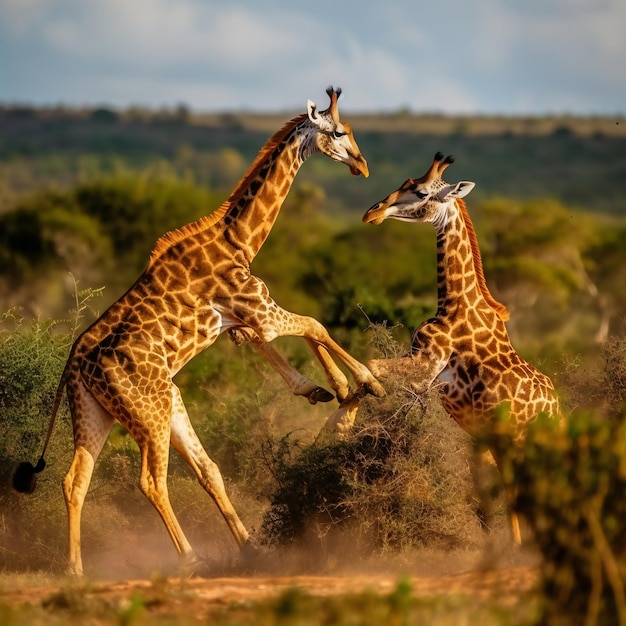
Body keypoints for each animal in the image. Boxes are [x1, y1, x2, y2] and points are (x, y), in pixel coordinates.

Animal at [14, 88, 382, 576]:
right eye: (339, 132)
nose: (362, 165)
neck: (237, 240)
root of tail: (73, 366)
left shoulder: (240, 319)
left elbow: (281, 341)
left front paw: (326, 390)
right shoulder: (258, 309)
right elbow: (315, 324)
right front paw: (362, 382)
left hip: (106, 410)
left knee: (81, 479)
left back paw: (78, 570)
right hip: (149, 413)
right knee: (151, 481)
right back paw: (189, 558)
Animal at [358, 151, 560, 540]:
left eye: (421, 192)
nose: (371, 213)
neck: (452, 302)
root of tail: (557, 410)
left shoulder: (426, 365)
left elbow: (371, 367)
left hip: (510, 440)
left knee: (516, 493)